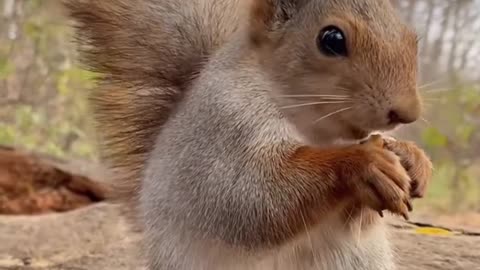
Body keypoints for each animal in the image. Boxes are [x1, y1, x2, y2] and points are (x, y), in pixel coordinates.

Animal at [64, 0, 436, 268]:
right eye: (331, 39)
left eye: (412, 38)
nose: (407, 112)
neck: (317, 129)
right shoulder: (224, 125)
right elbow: (252, 197)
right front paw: (366, 163)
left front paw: (412, 158)